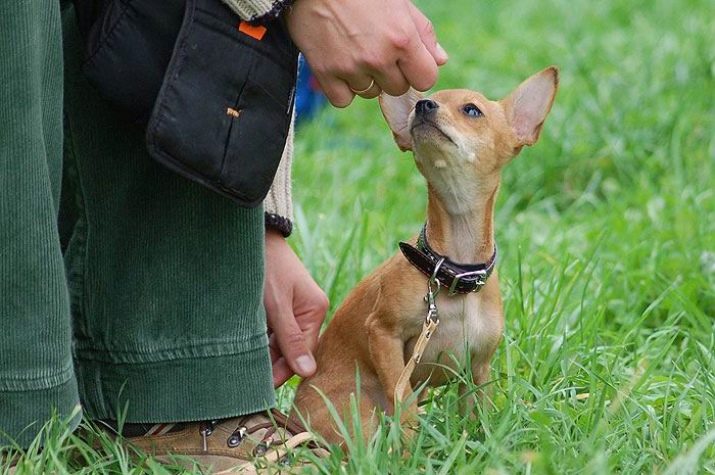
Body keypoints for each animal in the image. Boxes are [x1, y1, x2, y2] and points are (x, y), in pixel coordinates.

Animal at [290, 65, 560, 444]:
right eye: (426, 100)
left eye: (472, 110)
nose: (423, 105)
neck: (455, 272)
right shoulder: (383, 335)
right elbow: (402, 399)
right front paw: (408, 447)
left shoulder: (478, 368)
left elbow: (476, 416)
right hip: (358, 411)